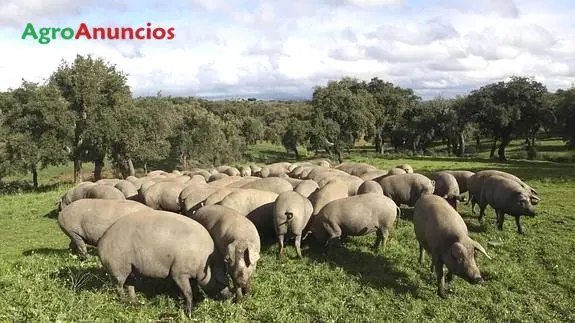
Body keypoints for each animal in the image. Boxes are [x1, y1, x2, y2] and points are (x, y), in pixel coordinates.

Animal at [98, 210, 233, 316]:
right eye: (219, 281)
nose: (231, 296)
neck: (202, 259)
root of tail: (102, 240)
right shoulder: (178, 272)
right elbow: (188, 292)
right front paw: (189, 313)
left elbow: (193, 288)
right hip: (119, 267)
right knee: (119, 286)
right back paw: (125, 302)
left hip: (132, 268)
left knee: (130, 285)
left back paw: (136, 304)